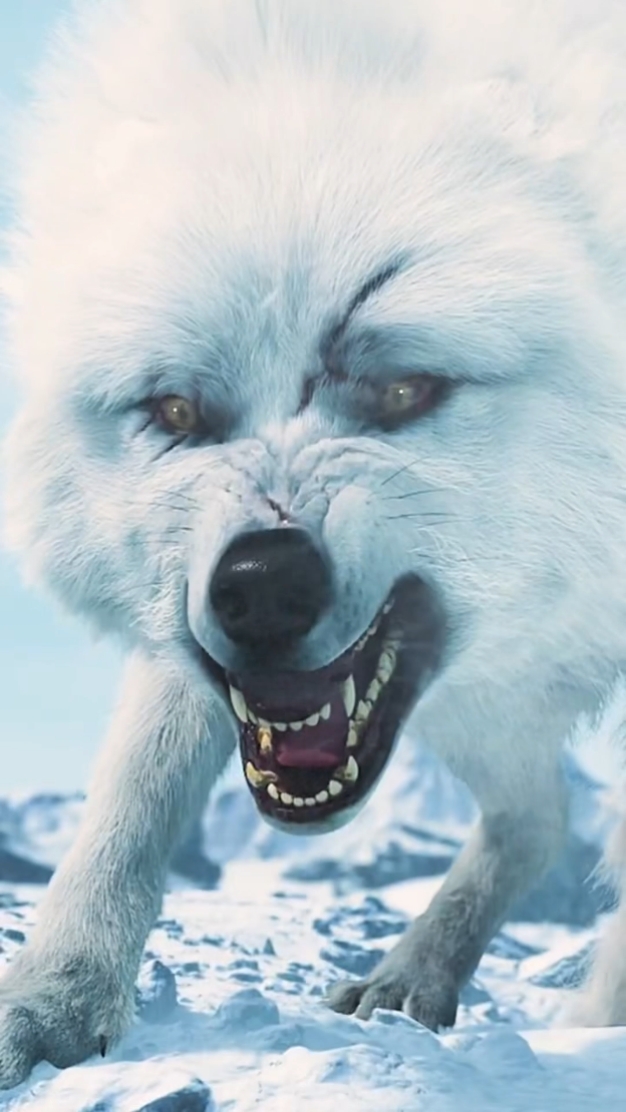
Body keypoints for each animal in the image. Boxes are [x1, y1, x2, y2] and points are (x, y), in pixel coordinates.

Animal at [1, 0, 626, 1087]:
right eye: (176, 410)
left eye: (404, 388)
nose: (260, 584)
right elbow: (128, 802)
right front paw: (49, 1008)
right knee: (541, 813)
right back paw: (414, 977)